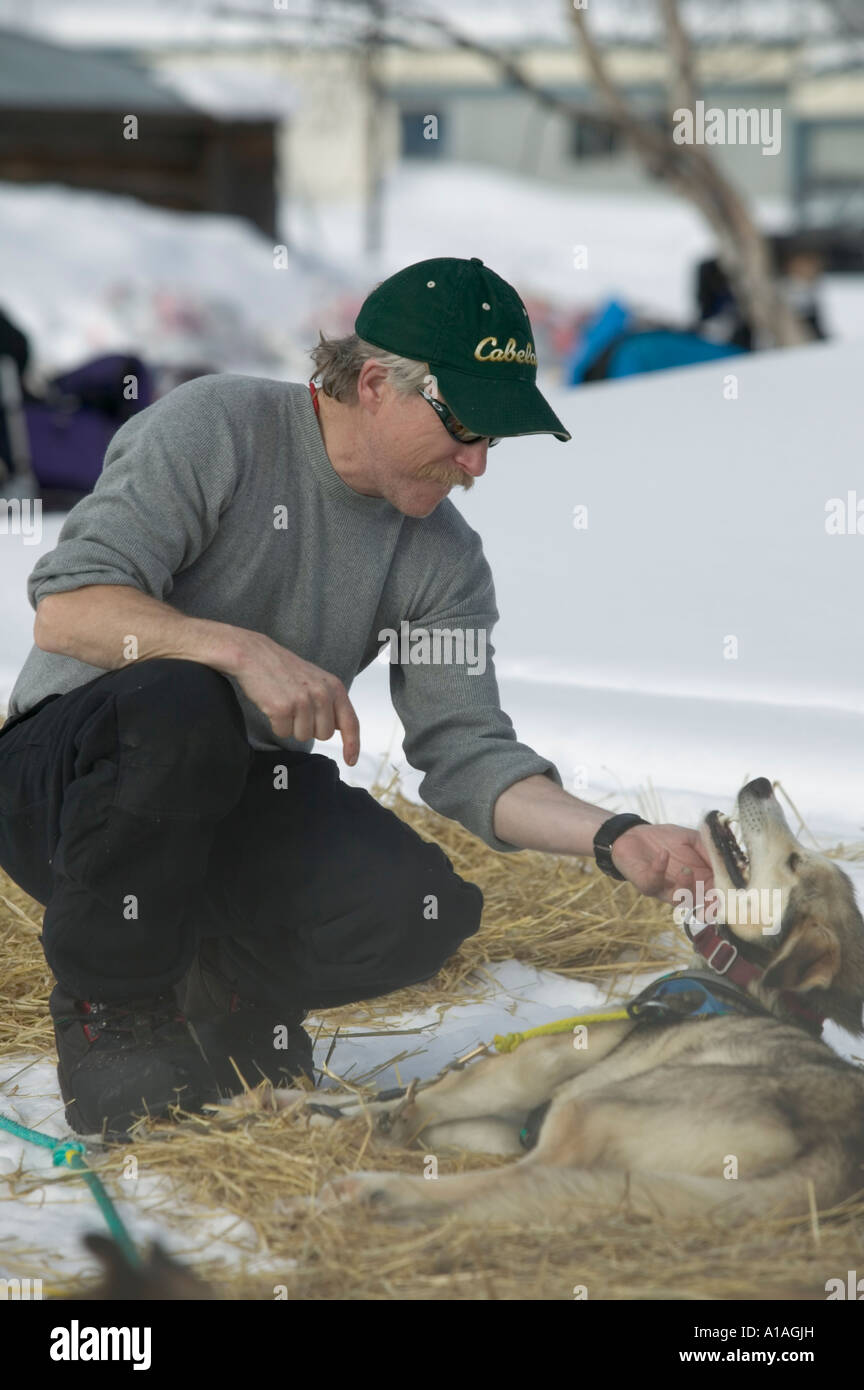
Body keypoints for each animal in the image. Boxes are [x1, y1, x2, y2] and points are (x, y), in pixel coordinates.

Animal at [268, 783, 864, 1228]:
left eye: (794, 860)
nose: (761, 783)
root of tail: (837, 1148)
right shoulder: (503, 1123)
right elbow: (392, 1105)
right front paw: (314, 1109)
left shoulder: (530, 1066)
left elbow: (425, 1094)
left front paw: (327, 1113)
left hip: (588, 1108)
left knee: (526, 1179)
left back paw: (370, 1192)